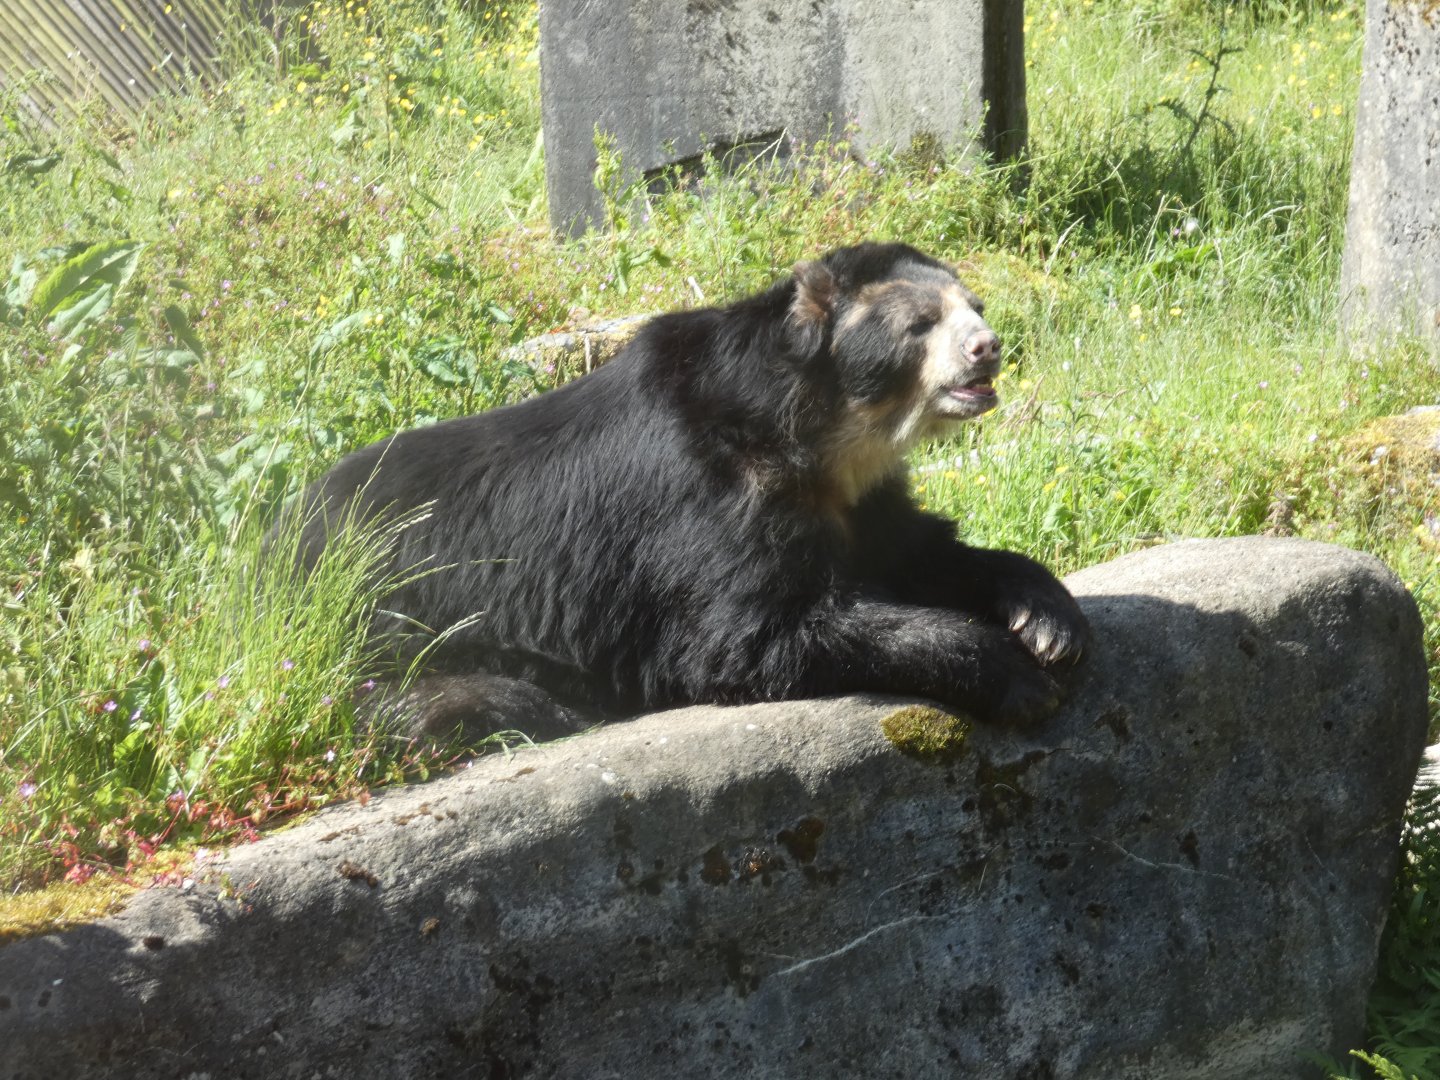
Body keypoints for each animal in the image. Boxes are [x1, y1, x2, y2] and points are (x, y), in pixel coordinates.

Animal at [290, 241, 1088, 741]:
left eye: (974, 305)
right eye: (921, 324)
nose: (988, 348)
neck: (822, 431)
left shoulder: (858, 498)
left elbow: (919, 549)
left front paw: (1048, 621)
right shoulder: (710, 496)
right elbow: (749, 635)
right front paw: (1018, 677)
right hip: (382, 608)